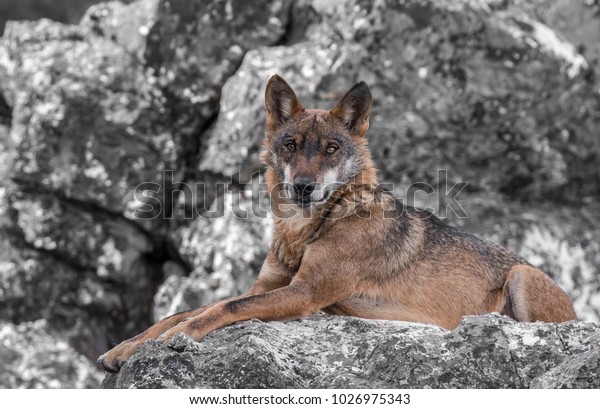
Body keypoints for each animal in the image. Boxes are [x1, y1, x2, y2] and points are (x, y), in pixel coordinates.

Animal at [98, 75, 576, 372]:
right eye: (291, 145)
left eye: (330, 148)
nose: (303, 187)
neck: (306, 230)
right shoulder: (268, 286)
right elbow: (187, 308)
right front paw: (126, 347)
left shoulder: (306, 293)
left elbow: (223, 308)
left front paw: (179, 336)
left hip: (522, 276)